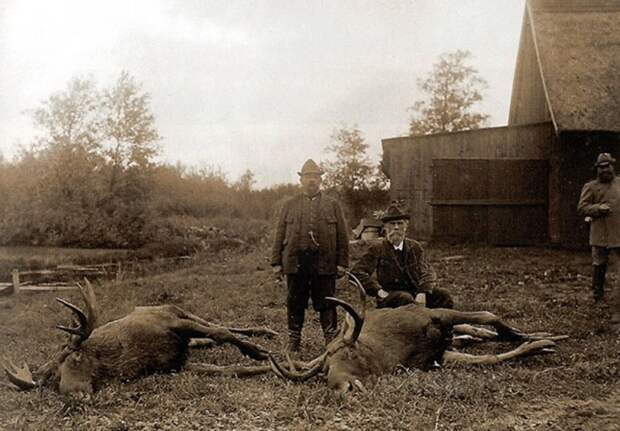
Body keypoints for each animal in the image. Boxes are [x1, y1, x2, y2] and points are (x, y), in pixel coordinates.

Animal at [0, 280, 276, 394]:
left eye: (75, 358)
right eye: (53, 379)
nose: (74, 396)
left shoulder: (171, 323)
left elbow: (222, 332)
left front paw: (259, 353)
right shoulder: (175, 365)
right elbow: (233, 370)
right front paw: (274, 368)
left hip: (181, 312)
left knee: (218, 325)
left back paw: (265, 332)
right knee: (206, 339)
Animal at [268, 276, 568, 396]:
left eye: (350, 353)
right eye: (325, 370)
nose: (342, 390)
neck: (394, 352)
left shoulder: (433, 314)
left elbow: (488, 314)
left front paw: (536, 337)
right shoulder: (435, 359)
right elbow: (491, 358)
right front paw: (538, 345)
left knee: (475, 326)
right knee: (470, 334)